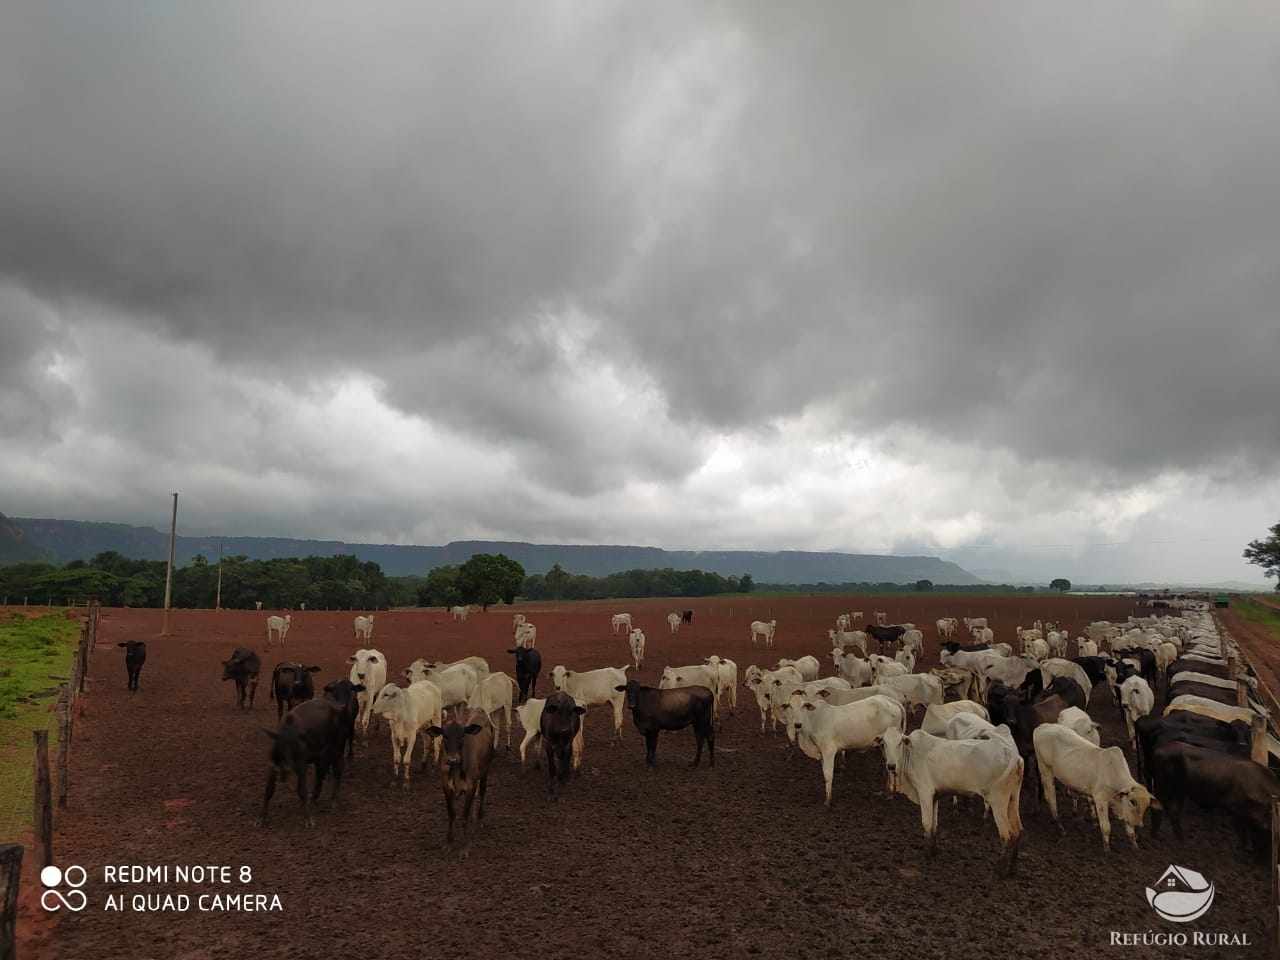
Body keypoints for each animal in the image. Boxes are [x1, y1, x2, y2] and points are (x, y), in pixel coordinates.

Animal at [257, 696, 348, 829]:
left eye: (295, 745)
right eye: (281, 745)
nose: (287, 768)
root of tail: (340, 706)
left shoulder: (301, 765)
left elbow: (302, 791)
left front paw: (308, 818)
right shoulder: (272, 764)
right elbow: (269, 789)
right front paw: (261, 817)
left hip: (337, 746)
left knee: (338, 769)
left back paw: (334, 802)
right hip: (322, 752)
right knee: (321, 771)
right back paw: (314, 798)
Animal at [424, 706, 494, 855]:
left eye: (462, 736)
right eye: (445, 736)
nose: (452, 759)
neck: (456, 769)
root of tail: (478, 710)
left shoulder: (471, 784)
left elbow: (464, 815)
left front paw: (465, 846)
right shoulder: (446, 785)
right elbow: (452, 813)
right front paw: (449, 843)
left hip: (486, 771)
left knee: (482, 792)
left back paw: (479, 821)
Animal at [885, 727, 1024, 880]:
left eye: (899, 742)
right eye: (884, 743)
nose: (891, 765)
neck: (912, 754)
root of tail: (1014, 755)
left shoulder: (925, 792)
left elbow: (926, 823)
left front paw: (926, 855)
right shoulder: (935, 796)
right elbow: (934, 824)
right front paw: (934, 851)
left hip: (998, 801)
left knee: (1006, 833)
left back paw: (1001, 871)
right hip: (1013, 798)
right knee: (1017, 830)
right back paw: (1012, 870)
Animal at [1029, 727, 1162, 855]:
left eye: (1147, 806)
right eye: (1132, 801)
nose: (1139, 825)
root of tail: (1040, 727)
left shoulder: (1124, 809)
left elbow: (1130, 831)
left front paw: (1136, 848)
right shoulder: (1101, 799)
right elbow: (1106, 827)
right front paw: (1107, 849)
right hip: (1046, 770)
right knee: (1052, 799)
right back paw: (1060, 826)